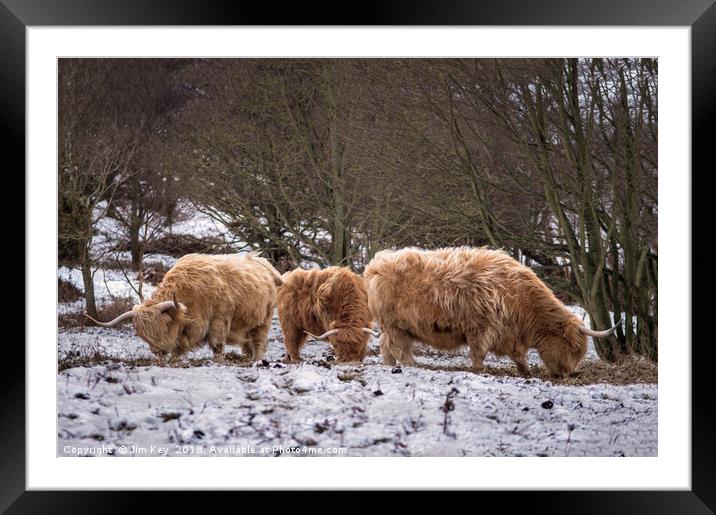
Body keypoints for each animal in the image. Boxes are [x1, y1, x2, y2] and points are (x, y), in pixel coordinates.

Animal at [85, 254, 282, 362]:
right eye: (142, 335)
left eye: (163, 326)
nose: (158, 352)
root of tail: (264, 263)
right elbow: (178, 351)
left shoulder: (219, 319)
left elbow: (217, 346)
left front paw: (218, 361)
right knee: (248, 345)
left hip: (264, 321)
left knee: (260, 342)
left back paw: (257, 360)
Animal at [364, 248, 620, 376]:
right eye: (574, 348)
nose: (569, 373)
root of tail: (375, 264)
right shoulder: (482, 328)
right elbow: (478, 353)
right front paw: (480, 370)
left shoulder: (510, 335)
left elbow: (519, 356)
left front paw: (526, 372)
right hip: (396, 326)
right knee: (399, 348)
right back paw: (413, 365)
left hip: (394, 328)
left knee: (387, 348)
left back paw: (391, 366)